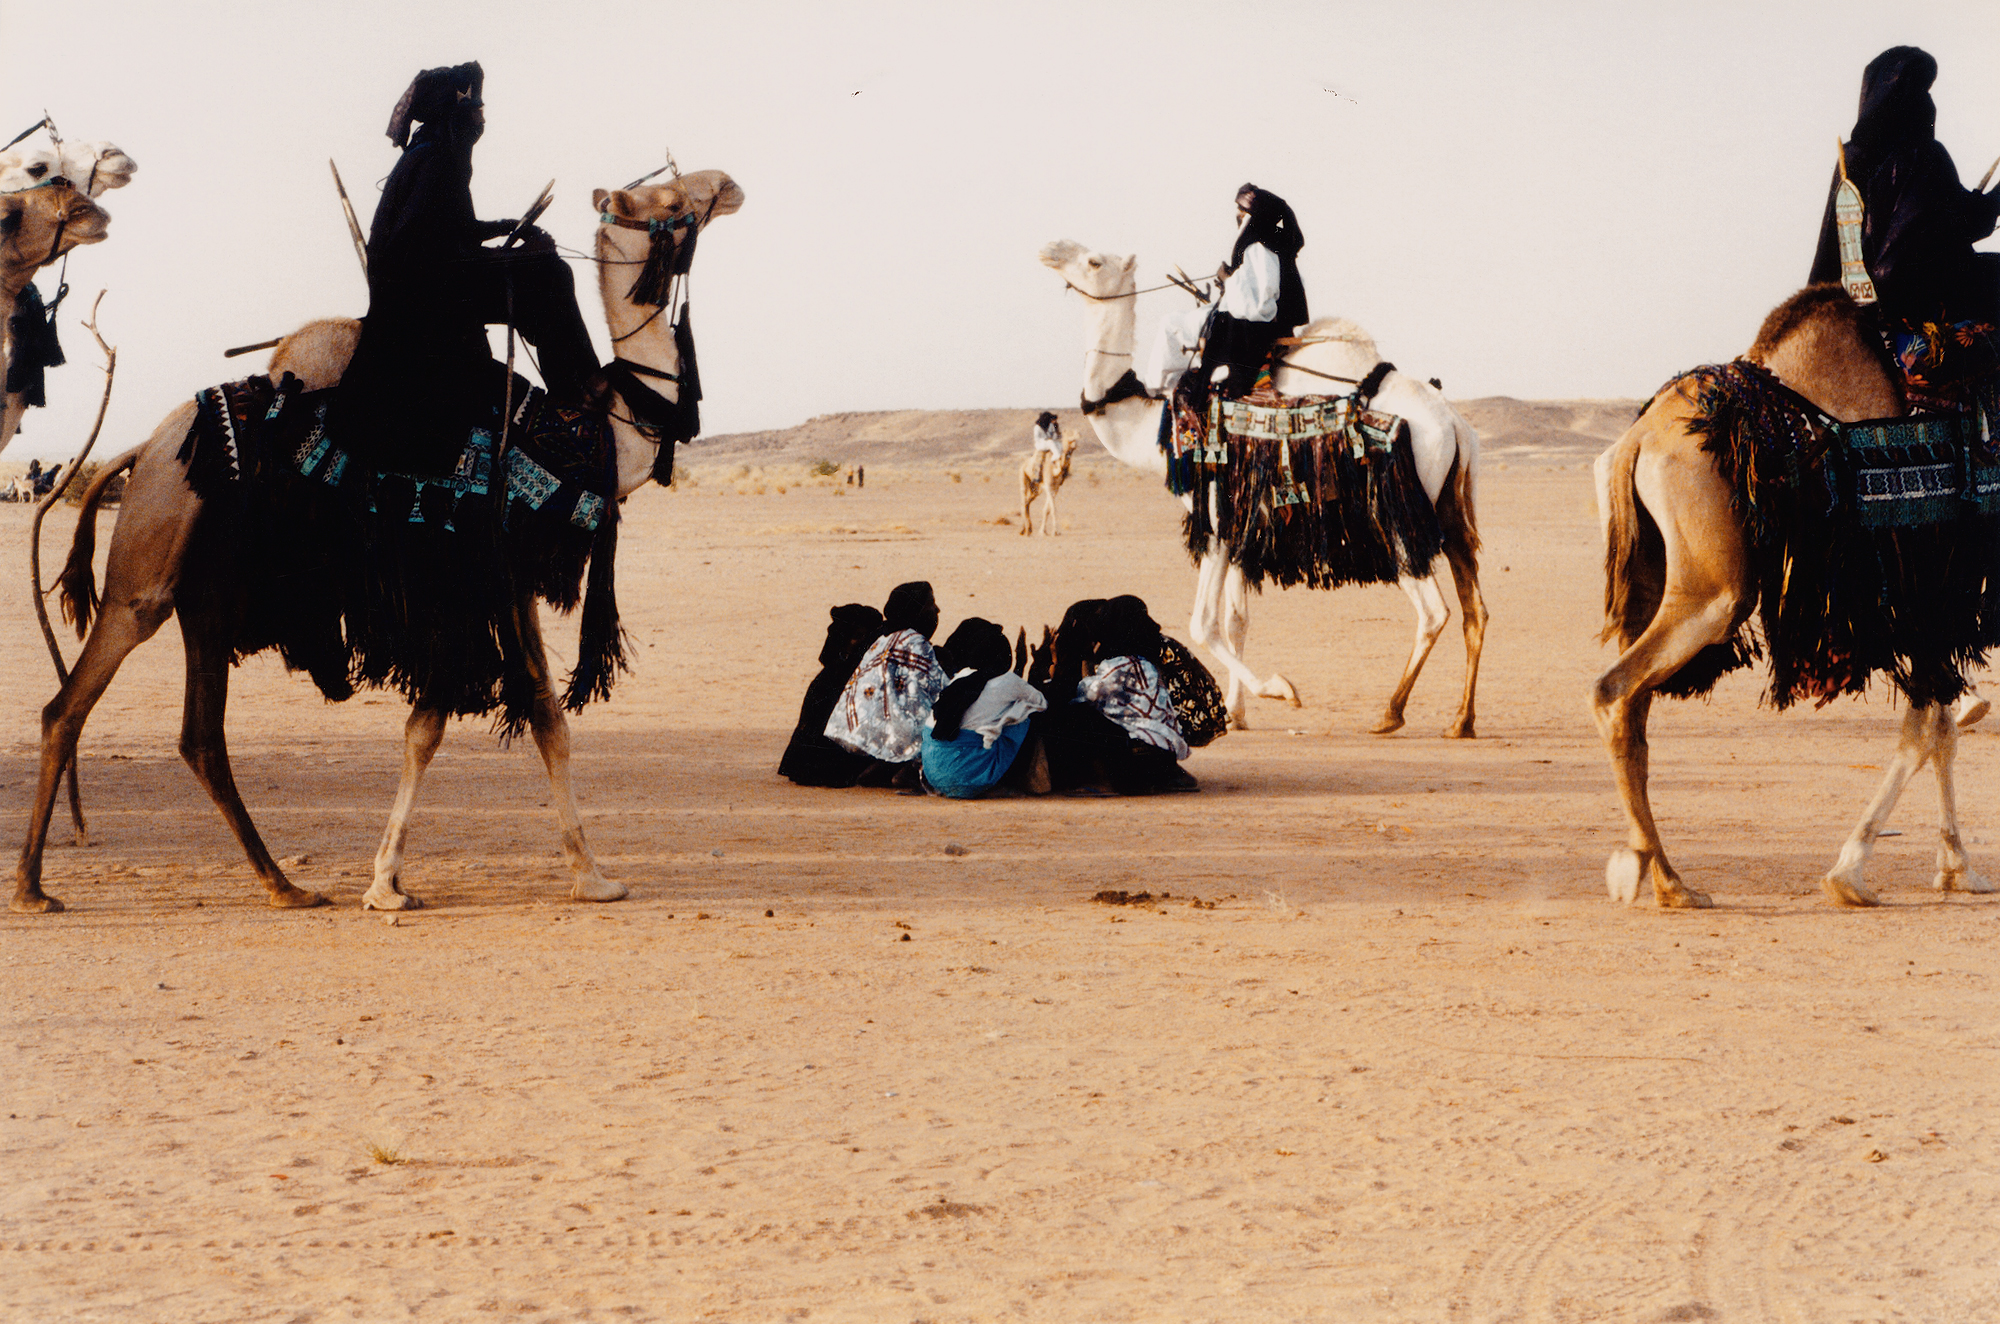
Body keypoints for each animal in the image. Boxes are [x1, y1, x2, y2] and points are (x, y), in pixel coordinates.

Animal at [11, 166, 748, 920]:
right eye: (672, 199)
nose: (727, 184)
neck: (591, 440)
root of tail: (143, 449)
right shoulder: (467, 581)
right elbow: (429, 726)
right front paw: (386, 883)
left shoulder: (507, 581)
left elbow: (546, 714)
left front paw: (590, 875)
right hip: (149, 571)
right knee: (71, 706)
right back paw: (36, 888)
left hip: (207, 596)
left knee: (199, 737)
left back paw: (282, 884)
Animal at [1032, 240, 1488, 736]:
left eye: (1094, 260)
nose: (1050, 249)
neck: (1153, 429)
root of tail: (1454, 423)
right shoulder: (1243, 523)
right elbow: (1237, 619)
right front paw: (1237, 713)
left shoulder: (1215, 520)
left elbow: (1203, 624)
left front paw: (1280, 689)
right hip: (1447, 510)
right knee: (1475, 611)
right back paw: (1462, 719)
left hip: (1394, 515)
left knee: (1434, 612)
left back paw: (1391, 712)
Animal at [1592, 286, 2000, 912]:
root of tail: (1638, 439)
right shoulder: (1930, 591)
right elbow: (1924, 732)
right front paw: (1851, 872)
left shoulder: (1928, 599)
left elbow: (1939, 731)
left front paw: (1957, 867)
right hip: (1716, 592)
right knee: (1614, 692)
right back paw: (1660, 874)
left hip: (1652, 577)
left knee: (1634, 705)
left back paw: (1664, 876)